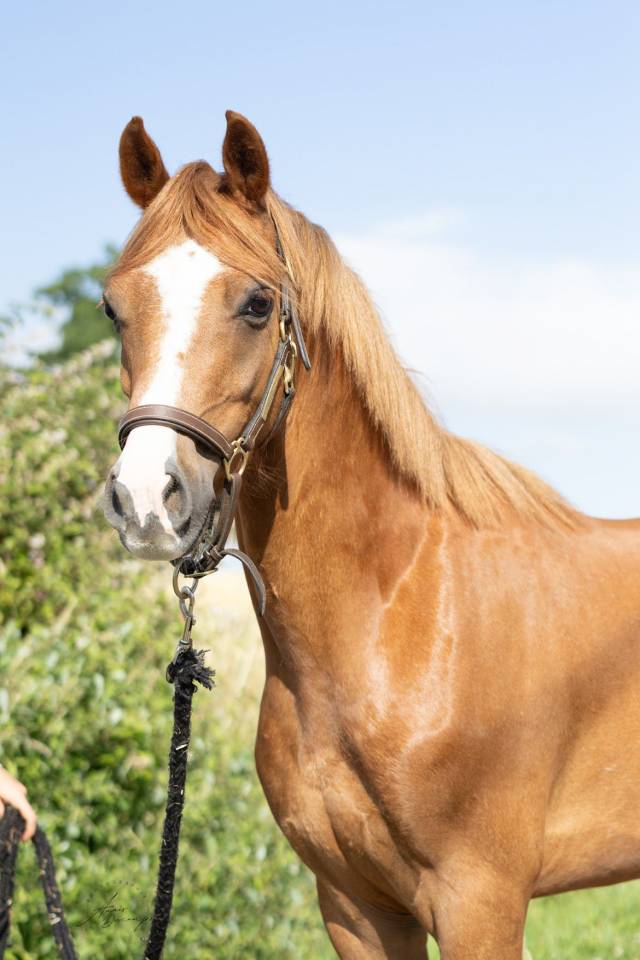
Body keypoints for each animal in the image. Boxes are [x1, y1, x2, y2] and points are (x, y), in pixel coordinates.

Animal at [102, 111, 640, 959]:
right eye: (113, 308)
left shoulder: (479, 900)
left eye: (257, 304)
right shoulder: (354, 904)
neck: (403, 611)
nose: (146, 498)